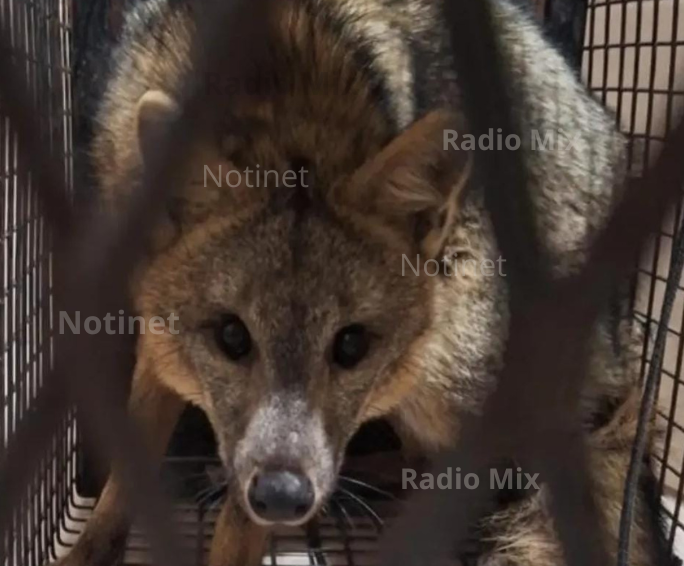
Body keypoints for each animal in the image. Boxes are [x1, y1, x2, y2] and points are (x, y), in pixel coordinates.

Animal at [55, 0, 669, 565]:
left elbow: (236, 527)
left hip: (445, 354)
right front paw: (90, 546)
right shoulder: (157, 336)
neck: (279, 88)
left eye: (351, 345)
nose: (284, 498)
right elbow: (124, 476)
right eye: (231, 337)